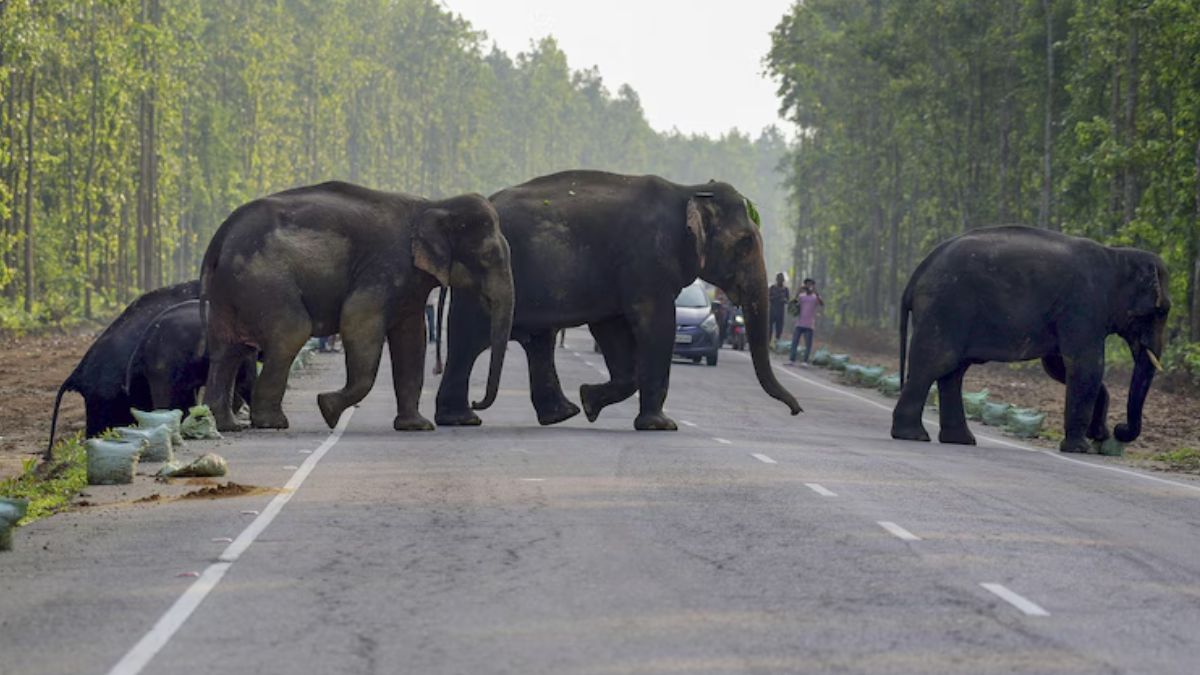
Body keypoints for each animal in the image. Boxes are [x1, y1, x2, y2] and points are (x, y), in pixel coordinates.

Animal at [200, 180, 514, 432]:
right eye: (488, 256)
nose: (476, 401)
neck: (435, 205)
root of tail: (219, 237)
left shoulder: (410, 282)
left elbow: (412, 338)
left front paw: (417, 426)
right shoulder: (385, 266)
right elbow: (358, 320)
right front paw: (327, 408)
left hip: (231, 291)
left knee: (228, 350)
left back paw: (227, 425)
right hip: (263, 278)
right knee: (290, 331)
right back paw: (272, 423)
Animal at [434, 170, 803, 431]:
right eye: (745, 243)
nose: (796, 410)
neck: (690, 190)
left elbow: (612, 330)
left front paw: (589, 400)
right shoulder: (647, 262)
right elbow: (658, 325)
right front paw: (661, 426)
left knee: (536, 341)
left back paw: (560, 414)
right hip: (484, 278)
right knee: (471, 340)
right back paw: (464, 418)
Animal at [890, 225, 1170, 453]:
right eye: (1161, 311)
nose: (1119, 430)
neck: (1117, 256)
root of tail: (918, 273)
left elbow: (1058, 367)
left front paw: (1098, 436)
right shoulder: (1084, 306)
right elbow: (1085, 365)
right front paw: (1082, 448)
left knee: (953, 372)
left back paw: (960, 440)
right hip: (946, 307)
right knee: (936, 363)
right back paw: (913, 436)